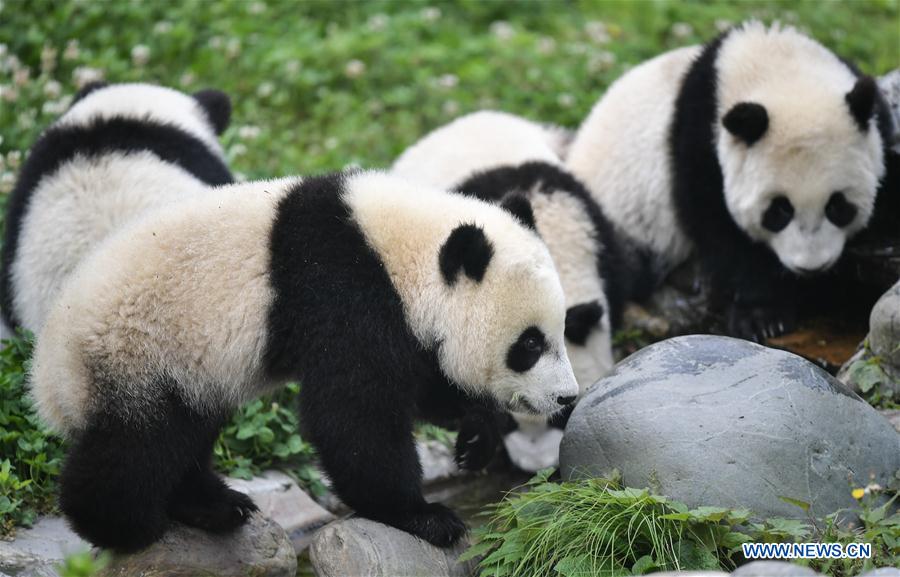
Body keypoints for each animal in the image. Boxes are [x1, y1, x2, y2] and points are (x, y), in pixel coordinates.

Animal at [30, 170, 579, 552]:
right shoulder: (345, 295)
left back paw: (215, 506)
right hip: (136, 352)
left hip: (181, 371)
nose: (566, 398)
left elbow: (421, 381)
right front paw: (424, 517)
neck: (399, 250)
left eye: (559, 333)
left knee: (185, 434)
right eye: (529, 345)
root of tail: (48, 379)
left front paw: (476, 436)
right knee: (139, 444)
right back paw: (123, 525)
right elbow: (353, 416)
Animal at [566, 21, 894, 341]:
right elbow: (721, 231)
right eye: (779, 210)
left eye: (837, 206)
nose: (812, 266)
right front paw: (763, 317)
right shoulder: (700, 146)